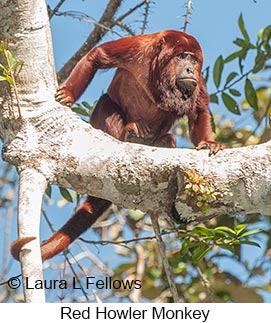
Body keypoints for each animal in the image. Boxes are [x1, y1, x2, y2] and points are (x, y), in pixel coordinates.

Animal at [11, 30, 225, 262]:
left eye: (193, 60)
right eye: (181, 56)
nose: (189, 70)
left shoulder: (197, 79)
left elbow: (199, 109)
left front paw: (208, 143)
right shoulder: (140, 48)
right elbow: (97, 55)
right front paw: (68, 94)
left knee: (170, 139)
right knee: (106, 101)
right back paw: (128, 133)